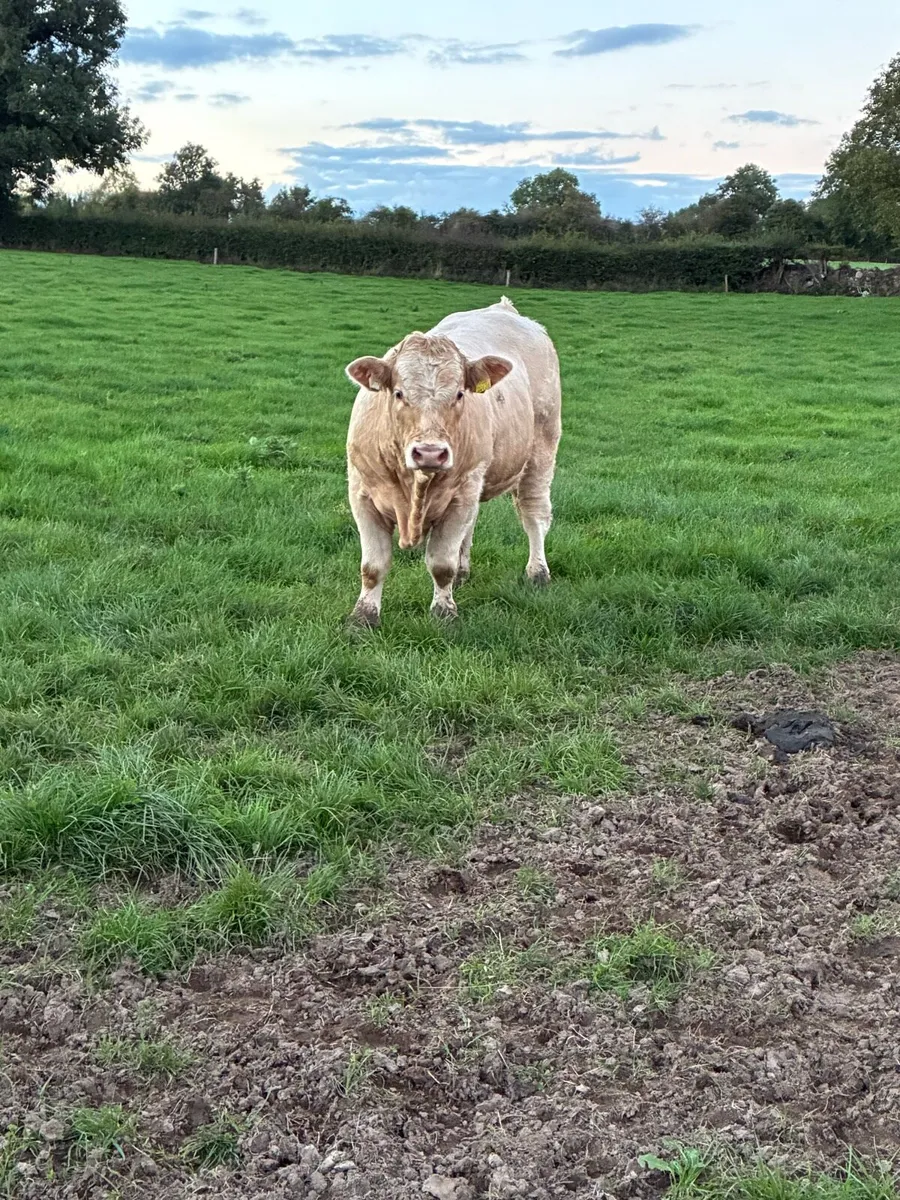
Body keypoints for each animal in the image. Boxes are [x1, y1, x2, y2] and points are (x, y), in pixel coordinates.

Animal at [344, 297, 562, 627]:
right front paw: (363, 617)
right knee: (471, 526)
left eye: (460, 394)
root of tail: (504, 308)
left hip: (540, 452)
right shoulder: (362, 493)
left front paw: (444, 612)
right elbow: (373, 566)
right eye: (399, 393)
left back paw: (537, 572)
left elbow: (440, 564)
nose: (430, 452)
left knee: (534, 514)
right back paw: (464, 571)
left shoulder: (460, 495)